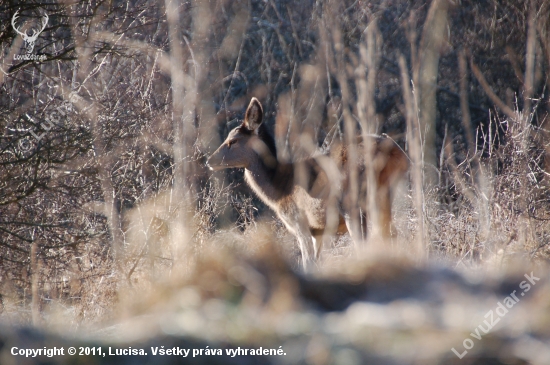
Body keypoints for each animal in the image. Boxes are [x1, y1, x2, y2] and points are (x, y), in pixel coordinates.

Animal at [207, 96, 410, 270]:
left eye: (232, 141)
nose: (209, 161)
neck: (279, 191)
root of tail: (399, 154)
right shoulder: (317, 231)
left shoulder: (299, 221)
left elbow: (307, 262)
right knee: (393, 235)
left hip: (354, 203)